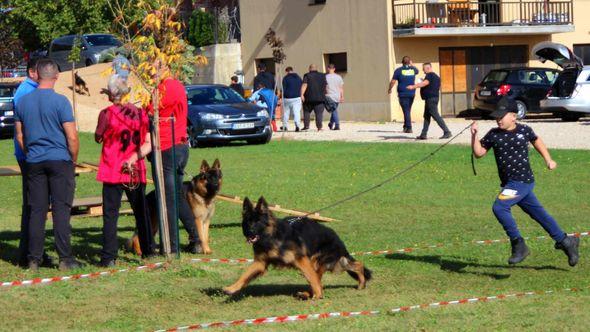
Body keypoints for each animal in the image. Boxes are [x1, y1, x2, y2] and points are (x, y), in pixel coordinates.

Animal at [224, 196, 372, 300]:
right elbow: (245, 275)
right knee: (357, 265)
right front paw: (231, 288)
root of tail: (338, 239)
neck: (272, 237)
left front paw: (319, 295)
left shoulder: (301, 259)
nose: (250, 232)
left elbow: (312, 278)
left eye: (258, 222)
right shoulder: (260, 263)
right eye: (248, 222)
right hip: (332, 262)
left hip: (317, 261)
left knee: (317, 277)